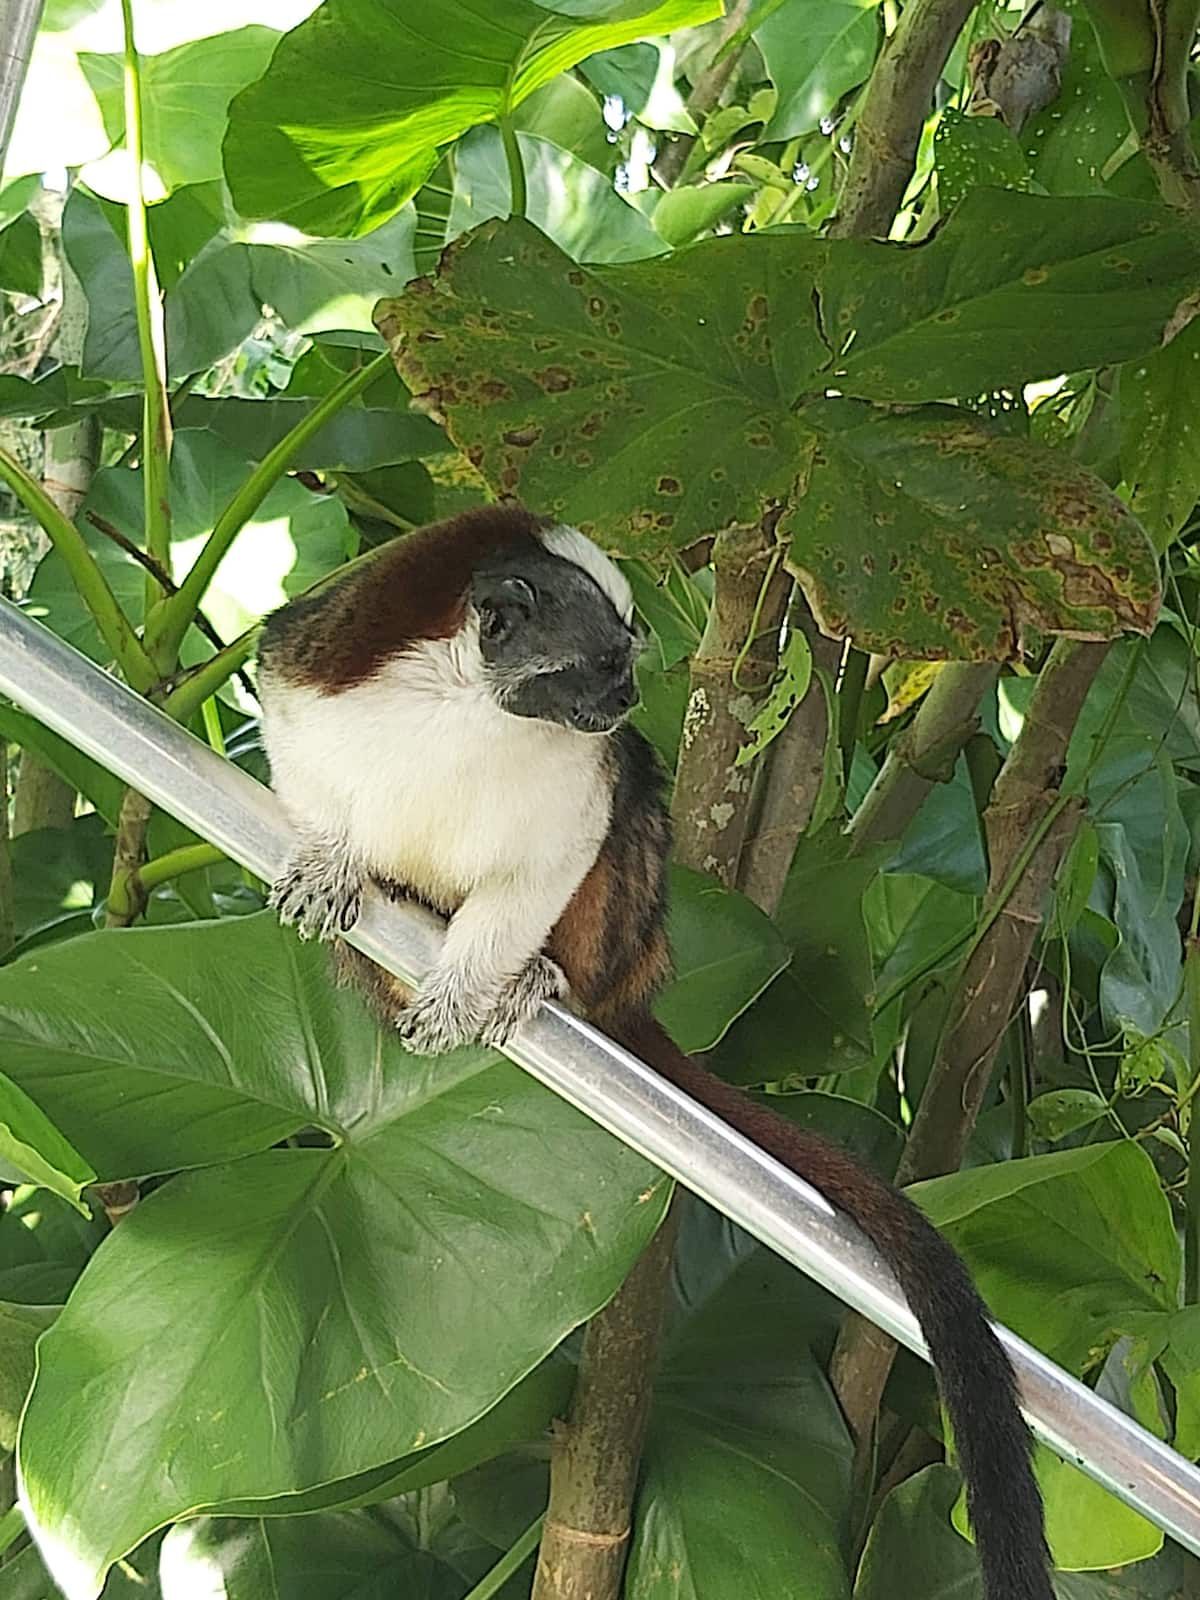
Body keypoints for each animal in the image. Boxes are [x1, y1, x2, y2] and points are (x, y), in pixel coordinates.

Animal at [257, 504, 1053, 1600]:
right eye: (601, 662)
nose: (632, 697)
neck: (465, 706)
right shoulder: (321, 665)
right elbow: (293, 746)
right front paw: (333, 860)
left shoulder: (565, 778)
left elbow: (555, 855)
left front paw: (478, 985)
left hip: (629, 935)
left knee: (633, 796)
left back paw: (551, 982)